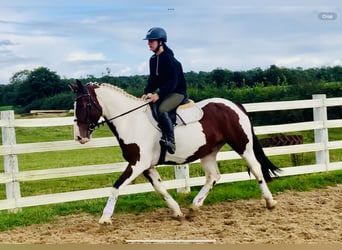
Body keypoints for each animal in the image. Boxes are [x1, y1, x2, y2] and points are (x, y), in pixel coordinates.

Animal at [70, 79, 280, 225]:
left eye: (84, 105)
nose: (79, 137)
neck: (132, 121)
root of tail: (235, 105)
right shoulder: (147, 167)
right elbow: (161, 189)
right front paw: (177, 211)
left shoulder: (137, 164)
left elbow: (116, 187)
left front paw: (105, 218)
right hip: (208, 151)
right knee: (213, 176)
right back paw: (194, 207)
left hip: (242, 146)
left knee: (256, 169)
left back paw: (270, 202)